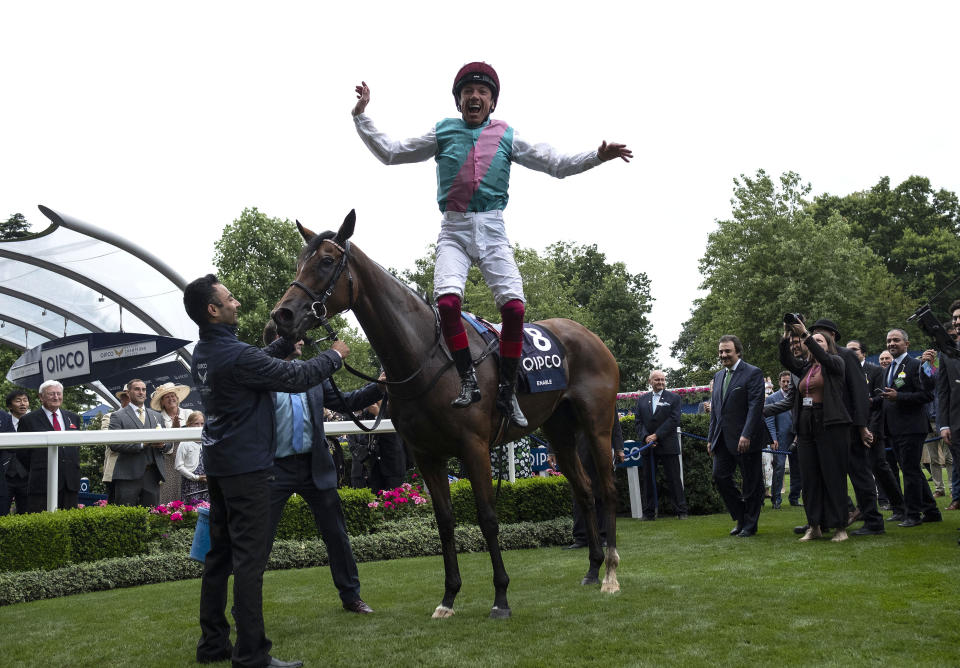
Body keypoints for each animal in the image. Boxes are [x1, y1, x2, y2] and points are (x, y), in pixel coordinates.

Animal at [272, 211, 624, 620]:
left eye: (326, 261)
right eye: (300, 261)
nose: (282, 314)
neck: (425, 356)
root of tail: (588, 335)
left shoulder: (473, 447)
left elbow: (487, 517)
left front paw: (500, 597)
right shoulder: (426, 455)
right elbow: (444, 521)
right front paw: (449, 597)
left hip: (597, 425)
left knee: (606, 489)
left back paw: (610, 573)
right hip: (559, 430)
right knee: (583, 490)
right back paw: (592, 569)